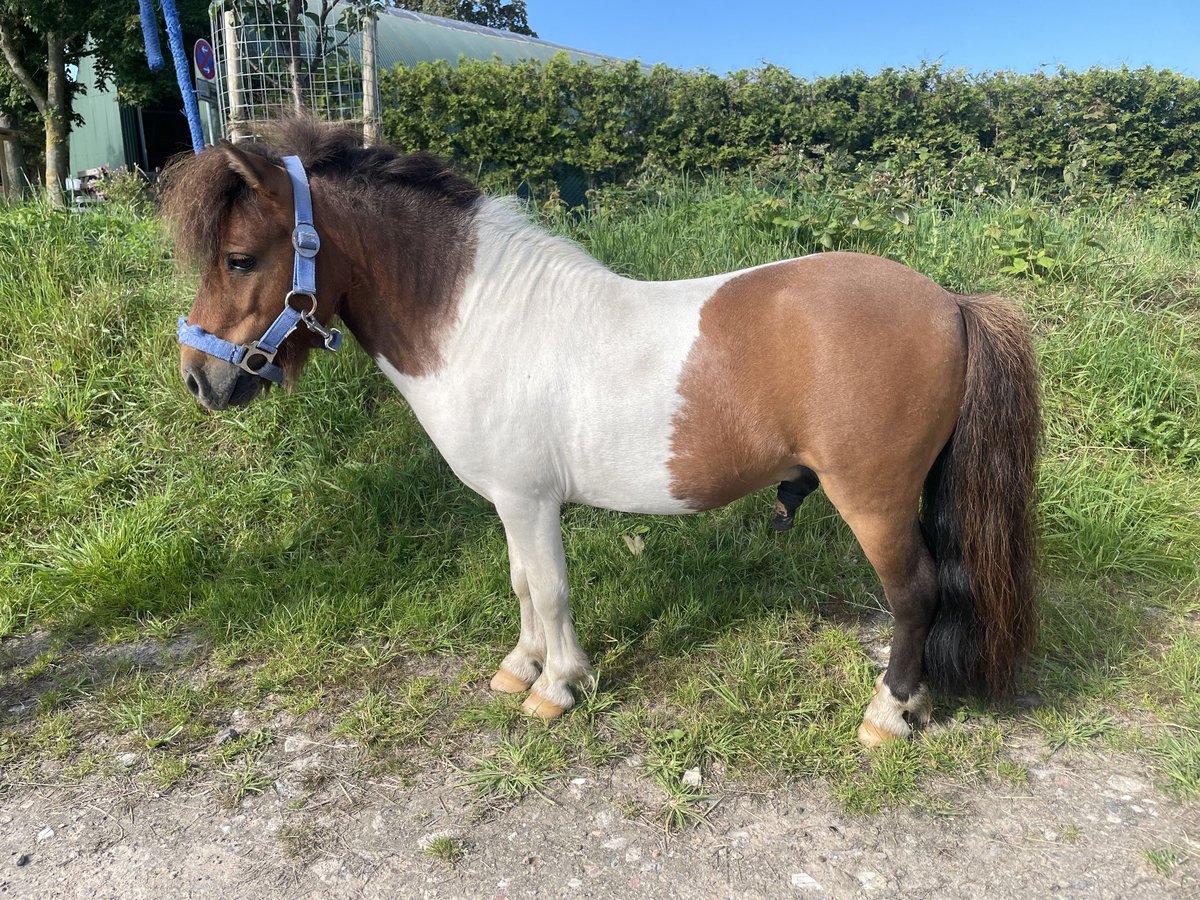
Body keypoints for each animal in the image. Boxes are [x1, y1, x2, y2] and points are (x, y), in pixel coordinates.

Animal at [162, 121, 1041, 748]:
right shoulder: (512, 503)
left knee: (915, 594)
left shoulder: (529, 500)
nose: (200, 379)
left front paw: (556, 689)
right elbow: (522, 584)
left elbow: (550, 589)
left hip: (875, 501)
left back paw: (887, 716)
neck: (480, 319)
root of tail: (951, 303)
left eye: (239, 258)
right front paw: (519, 668)